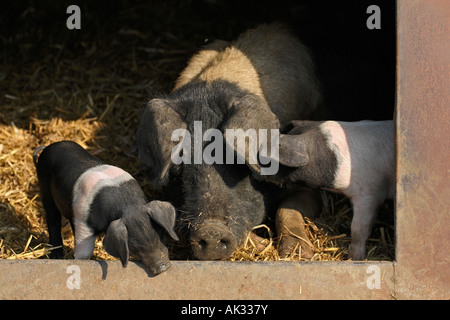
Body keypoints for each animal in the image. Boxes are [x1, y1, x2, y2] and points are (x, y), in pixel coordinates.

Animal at [33, 141, 179, 276]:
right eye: (133, 246)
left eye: (161, 233)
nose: (162, 267)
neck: (127, 205)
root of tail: (48, 147)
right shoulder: (82, 220)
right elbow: (84, 250)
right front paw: (80, 262)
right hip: (44, 187)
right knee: (53, 218)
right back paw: (56, 255)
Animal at [135, 24, 322, 260]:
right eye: (179, 163)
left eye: (239, 161)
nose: (211, 230)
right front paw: (261, 245)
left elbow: (287, 207)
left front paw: (297, 253)